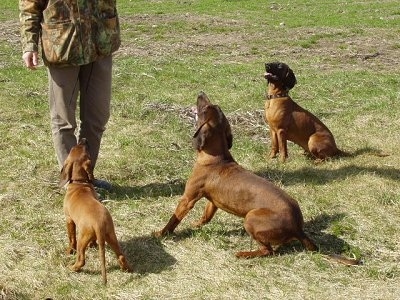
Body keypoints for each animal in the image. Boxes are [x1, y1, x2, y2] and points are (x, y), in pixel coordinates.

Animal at [59, 138, 131, 284]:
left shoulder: (69, 219)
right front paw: (92, 245)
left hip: (82, 237)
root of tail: (99, 224)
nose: (84, 139)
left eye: (83, 147)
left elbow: (71, 238)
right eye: (77, 147)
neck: (80, 183)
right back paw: (127, 269)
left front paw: (69, 251)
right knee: (121, 255)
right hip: (111, 235)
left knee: (81, 259)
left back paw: (72, 268)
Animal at [154, 92, 360, 264]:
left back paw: (245, 254)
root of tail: (298, 228)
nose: (200, 93)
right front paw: (197, 224)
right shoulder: (213, 201)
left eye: (205, 108)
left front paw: (161, 233)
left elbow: (174, 220)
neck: (217, 158)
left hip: (250, 218)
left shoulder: (188, 198)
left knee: (268, 251)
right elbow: (206, 216)